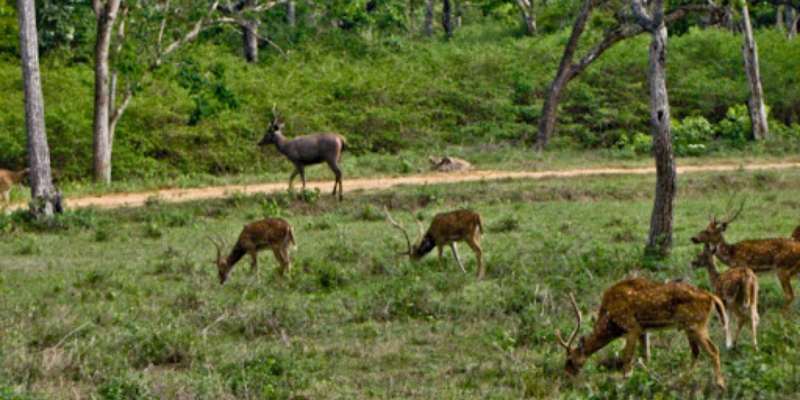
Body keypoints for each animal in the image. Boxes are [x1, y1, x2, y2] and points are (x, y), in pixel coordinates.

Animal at [556, 278, 732, 388]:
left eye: (570, 360)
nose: (565, 377)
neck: (611, 322)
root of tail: (711, 297)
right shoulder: (644, 330)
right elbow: (646, 356)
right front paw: (648, 378)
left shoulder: (631, 326)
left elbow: (627, 358)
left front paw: (625, 381)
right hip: (690, 327)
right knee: (696, 352)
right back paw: (684, 380)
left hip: (697, 324)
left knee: (713, 350)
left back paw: (720, 384)